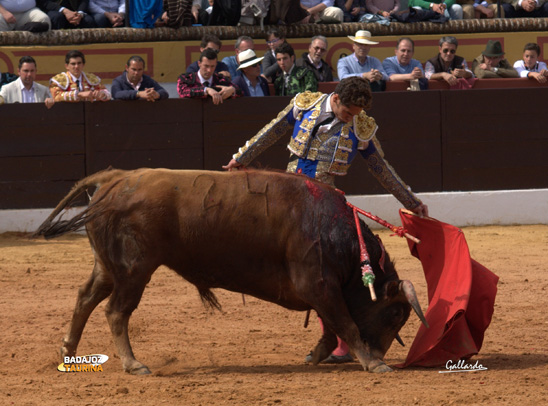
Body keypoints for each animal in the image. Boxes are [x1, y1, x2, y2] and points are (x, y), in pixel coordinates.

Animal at [35, 167, 428, 374]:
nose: (382, 354)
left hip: (108, 266)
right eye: (395, 314)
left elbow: (333, 327)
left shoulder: (321, 289)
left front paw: (318, 355)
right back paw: (133, 364)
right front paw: (373, 364)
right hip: (135, 269)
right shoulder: (318, 283)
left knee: (85, 298)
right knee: (116, 311)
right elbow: (345, 323)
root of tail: (116, 178)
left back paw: (68, 352)